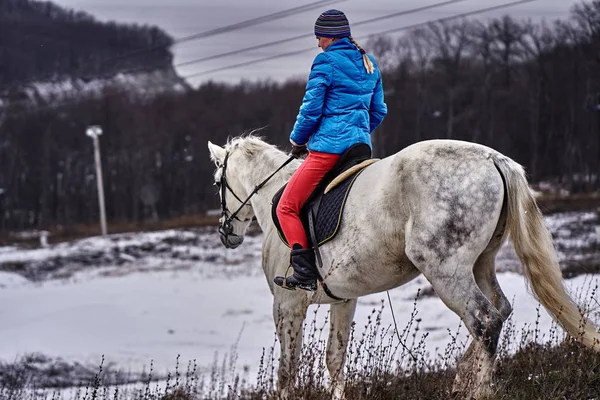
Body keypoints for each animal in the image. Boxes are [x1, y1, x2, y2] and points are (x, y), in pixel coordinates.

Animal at [207, 136, 600, 398]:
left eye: (217, 183)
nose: (227, 233)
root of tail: (494, 158)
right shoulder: (343, 300)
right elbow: (335, 358)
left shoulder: (287, 305)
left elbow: (287, 370)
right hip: (481, 263)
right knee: (499, 310)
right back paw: (462, 377)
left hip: (446, 271)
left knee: (485, 320)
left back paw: (478, 390)